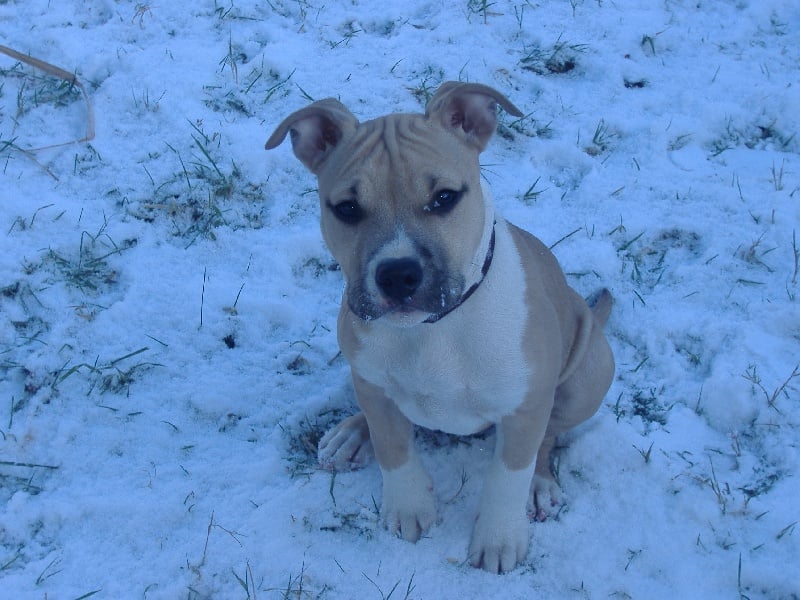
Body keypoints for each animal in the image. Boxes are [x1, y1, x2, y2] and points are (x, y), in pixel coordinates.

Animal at [266, 82, 616, 576]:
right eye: (347, 209)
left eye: (445, 198)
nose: (397, 275)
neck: (435, 331)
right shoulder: (373, 382)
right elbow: (393, 447)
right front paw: (409, 506)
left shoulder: (527, 405)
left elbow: (509, 475)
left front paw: (499, 539)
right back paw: (350, 435)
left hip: (590, 373)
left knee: (550, 434)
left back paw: (539, 485)